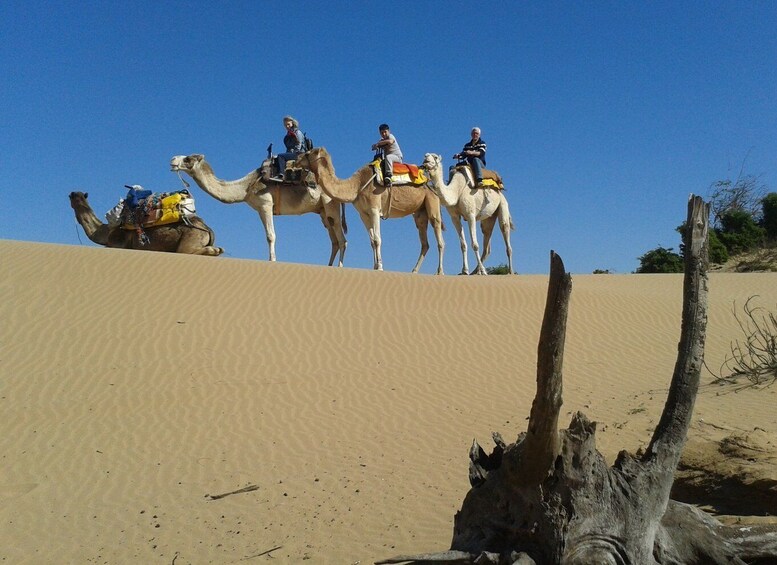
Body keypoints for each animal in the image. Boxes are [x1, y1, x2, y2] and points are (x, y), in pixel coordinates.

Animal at [169, 153, 346, 268]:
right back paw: (329, 266)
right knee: (334, 240)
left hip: (330, 204)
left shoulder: (265, 204)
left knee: (342, 239)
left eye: (188, 158)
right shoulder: (260, 209)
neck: (246, 188)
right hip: (322, 211)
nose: (172, 160)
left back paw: (339, 267)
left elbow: (270, 236)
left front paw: (272, 261)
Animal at [294, 147, 446, 274]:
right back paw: (414, 271)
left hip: (432, 204)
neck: (357, 185)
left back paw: (440, 272)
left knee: (439, 237)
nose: (296, 160)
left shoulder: (374, 209)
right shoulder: (363, 214)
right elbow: (372, 240)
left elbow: (378, 239)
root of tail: (430, 183)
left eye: (308, 153)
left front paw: (380, 267)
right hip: (420, 213)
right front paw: (374, 266)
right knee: (425, 243)